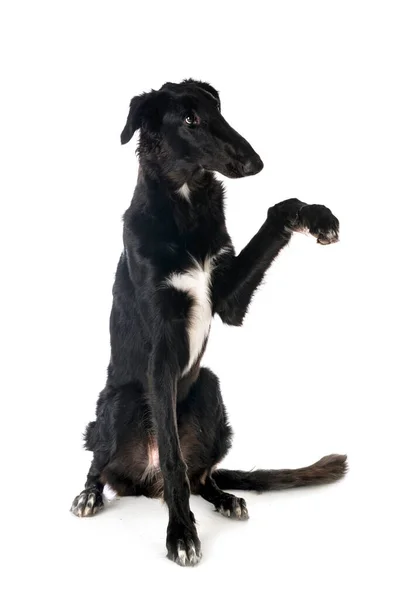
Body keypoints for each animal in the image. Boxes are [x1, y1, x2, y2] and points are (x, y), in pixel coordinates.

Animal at [72, 79, 346, 568]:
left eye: (218, 109)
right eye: (189, 119)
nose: (256, 163)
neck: (185, 203)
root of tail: (143, 483)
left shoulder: (228, 298)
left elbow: (279, 210)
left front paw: (316, 215)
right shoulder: (161, 350)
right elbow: (173, 460)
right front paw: (181, 534)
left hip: (210, 388)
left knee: (203, 475)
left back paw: (225, 498)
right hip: (122, 399)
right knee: (103, 460)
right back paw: (90, 494)